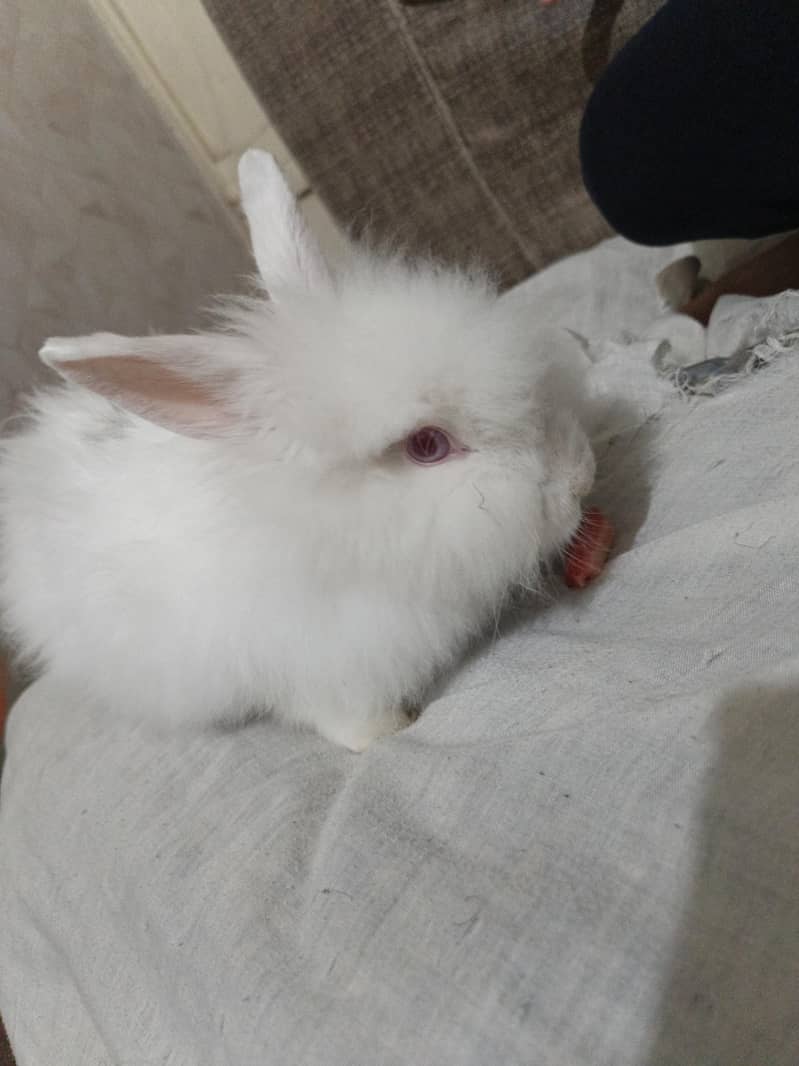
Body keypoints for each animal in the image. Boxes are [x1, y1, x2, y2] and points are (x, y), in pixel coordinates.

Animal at [0, 150, 596, 751]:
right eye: (427, 444)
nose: (581, 478)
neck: (322, 531)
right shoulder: (319, 667)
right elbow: (348, 718)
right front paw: (385, 734)